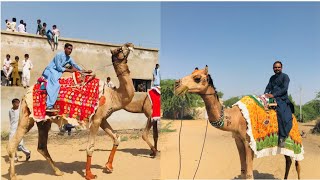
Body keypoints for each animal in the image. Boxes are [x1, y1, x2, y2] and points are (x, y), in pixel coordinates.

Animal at [7, 42, 135, 180]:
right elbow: (90, 147)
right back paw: (13, 176)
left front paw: (109, 166)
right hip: (26, 115)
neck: (113, 95)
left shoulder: (103, 118)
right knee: (13, 143)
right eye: (119, 49)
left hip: (43, 121)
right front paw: (89, 174)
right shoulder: (96, 119)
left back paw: (58, 171)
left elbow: (116, 138)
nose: (130, 44)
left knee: (41, 147)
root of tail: (24, 95)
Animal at [174, 65, 302, 179]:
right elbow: (243, 171)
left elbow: (249, 174)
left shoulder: (248, 141)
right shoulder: (238, 140)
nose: (176, 84)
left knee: (297, 164)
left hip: (295, 140)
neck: (235, 117)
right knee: (288, 160)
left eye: (197, 78)